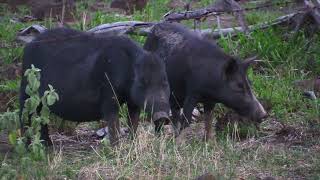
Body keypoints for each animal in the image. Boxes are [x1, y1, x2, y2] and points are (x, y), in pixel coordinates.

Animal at [19, 28, 170, 146]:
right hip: (27, 89)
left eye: (165, 83)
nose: (163, 116)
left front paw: (132, 143)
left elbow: (133, 121)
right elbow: (113, 121)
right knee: (25, 115)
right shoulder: (109, 96)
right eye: (142, 83)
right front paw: (116, 147)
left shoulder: (133, 101)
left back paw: (48, 146)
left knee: (41, 119)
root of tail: (28, 47)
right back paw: (29, 148)